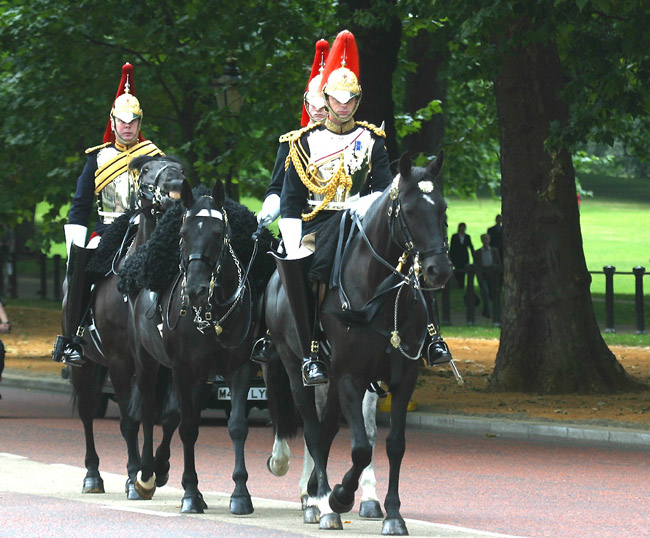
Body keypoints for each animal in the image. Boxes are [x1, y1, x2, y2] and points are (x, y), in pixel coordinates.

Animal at [63, 154, 186, 494]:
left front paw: (160, 467)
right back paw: (93, 475)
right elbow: (131, 419)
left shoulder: (165, 363)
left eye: (181, 168)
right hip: (85, 365)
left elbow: (169, 415)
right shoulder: (121, 361)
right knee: (88, 411)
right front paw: (135, 474)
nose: (175, 184)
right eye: (145, 171)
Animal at [128, 179, 272, 510]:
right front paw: (191, 494)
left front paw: (240, 494)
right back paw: (145, 476)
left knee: (171, 416)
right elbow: (189, 427)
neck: (212, 311)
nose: (195, 289)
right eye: (183, 234)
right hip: (146, 361)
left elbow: (236, 425)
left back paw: (161, 467)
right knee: (149, 412)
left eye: (218, 234)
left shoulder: (239, 368)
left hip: (201, 377)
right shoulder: (181, 369)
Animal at [260, 151, 448, 532]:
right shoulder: (350, 376)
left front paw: (393, 514)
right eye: (409, 211)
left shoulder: (402, 378)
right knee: (313, 430)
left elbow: (393, 443)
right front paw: (339, 497)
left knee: (327, 429)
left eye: (443, 209)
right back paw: (320, 502)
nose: (439, 270)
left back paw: (317, 494)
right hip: (297, 368)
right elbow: (359, 447)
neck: (380, 296)